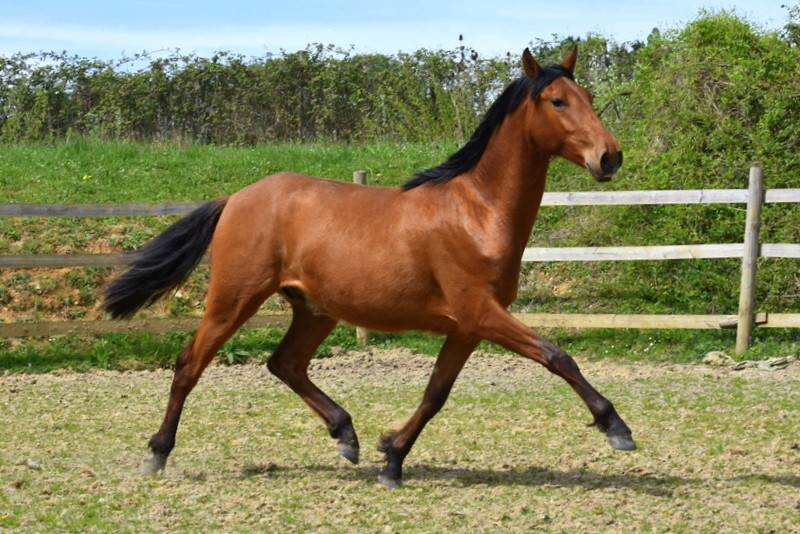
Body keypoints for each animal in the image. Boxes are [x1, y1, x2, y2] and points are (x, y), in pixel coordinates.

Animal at [103, 47, 634, 489]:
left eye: (588, 97)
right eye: (557, 101)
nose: (610, 156)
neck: (477, 212)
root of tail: (235, 198)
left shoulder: (467, 326)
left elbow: (436, 394)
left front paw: (392, 458)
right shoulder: (481, 313)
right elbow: (557, 356)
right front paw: (617, 428)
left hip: (315, 309)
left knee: (285, 363)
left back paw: (346, 436)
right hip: (234, 298)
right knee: (190, 364)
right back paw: (157, 454)